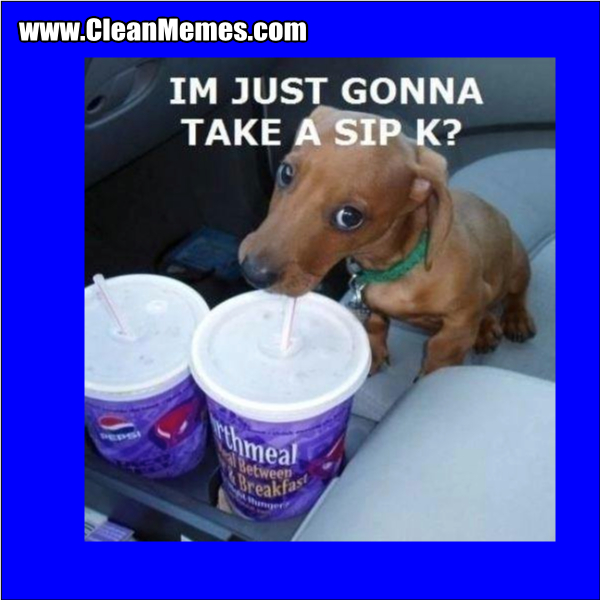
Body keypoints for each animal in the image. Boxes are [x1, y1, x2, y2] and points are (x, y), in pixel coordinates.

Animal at [240, 106, 536, 376]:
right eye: (285, 172)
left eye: (349, 217)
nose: (252, 272)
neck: (398, 265)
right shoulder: (372, 307)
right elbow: (376, 328)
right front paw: (372, 357)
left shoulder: (459, 321)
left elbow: (440, 355)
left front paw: (427, 381)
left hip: (518, 265)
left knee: (516, 294)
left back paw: (515, 319)